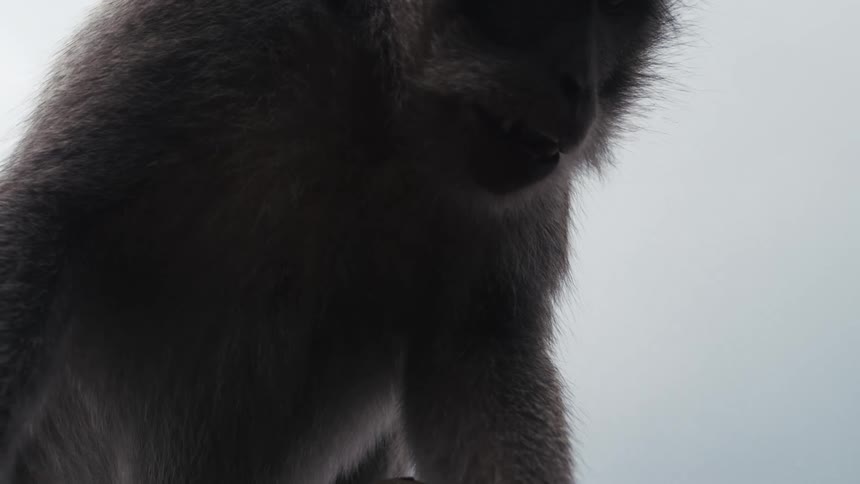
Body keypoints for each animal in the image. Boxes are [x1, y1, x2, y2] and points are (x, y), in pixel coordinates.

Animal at [0, 0, 677, 482]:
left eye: (615, 8)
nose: (577, 83)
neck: (387, 97)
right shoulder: (208, 30)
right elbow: (52, 215)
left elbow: (475, 354)